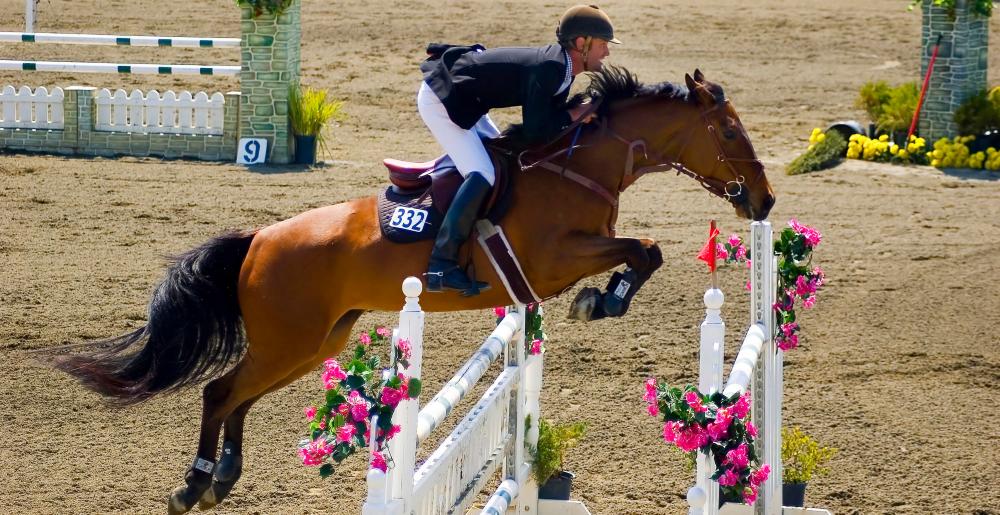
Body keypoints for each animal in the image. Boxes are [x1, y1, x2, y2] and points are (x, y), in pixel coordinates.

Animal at [54, 68, 772, 515]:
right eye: (729, 131)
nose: (763, 200)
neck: (577, 166)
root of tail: (258, 239)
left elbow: (645, 250)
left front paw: (606, 298)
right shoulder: (552, 260)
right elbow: (642, 249)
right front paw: (603, 300)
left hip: (315, 342)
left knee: (237, 395)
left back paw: (222, 478)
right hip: (291, 339)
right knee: (219, 391)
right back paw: (194, 485)